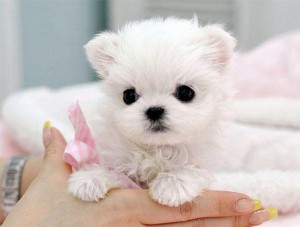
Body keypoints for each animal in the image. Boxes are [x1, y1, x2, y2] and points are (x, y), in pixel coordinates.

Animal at [68, 16, 237, 207]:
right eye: (129, 95)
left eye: (186, 93)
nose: (154, 110)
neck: (157, 148)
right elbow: (113, 171)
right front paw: (90, 179)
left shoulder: (208, 163)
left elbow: (194, 170)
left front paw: (172, 185)